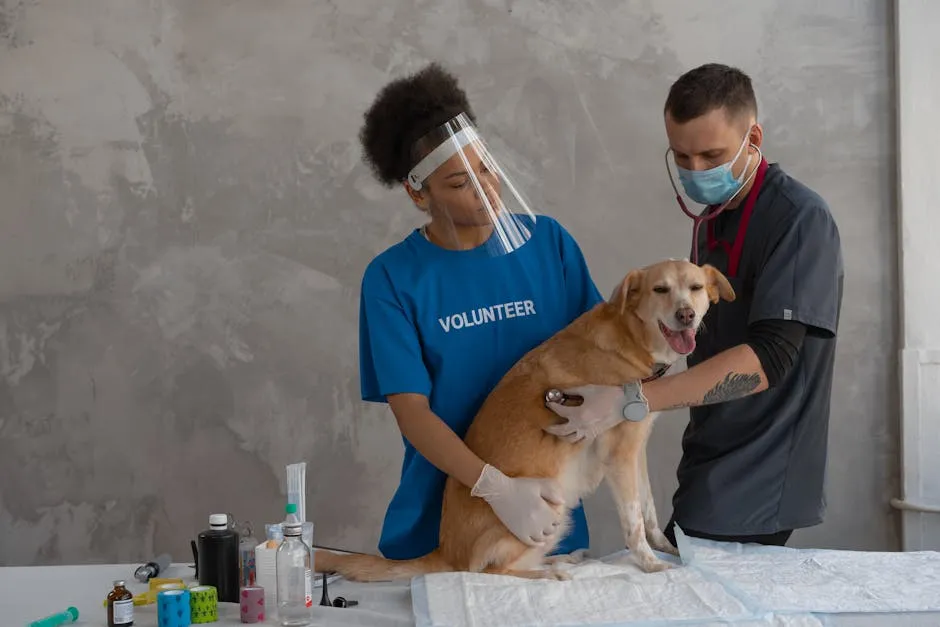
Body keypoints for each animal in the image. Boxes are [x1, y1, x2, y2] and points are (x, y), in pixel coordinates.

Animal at [316, 260, 736, 584]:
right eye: (660, 289)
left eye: (696, 288)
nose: (686, 314)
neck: (630, 337)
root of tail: (446, 552)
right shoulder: (619, 457)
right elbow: (632, 522)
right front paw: (649, 564)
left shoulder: (635, 452)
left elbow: (648, 509)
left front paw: (667, 549)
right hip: (546, 511)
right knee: (487, 572)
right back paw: (546, 573)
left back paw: (561, 558)